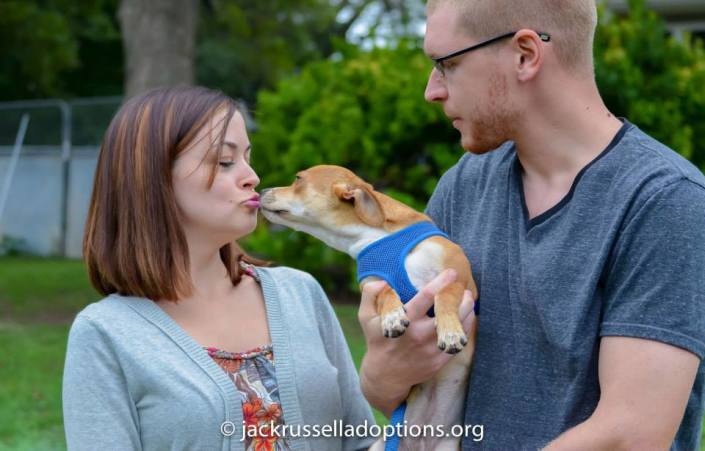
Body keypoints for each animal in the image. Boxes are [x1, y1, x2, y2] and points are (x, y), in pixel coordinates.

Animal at [260, 166, 478, 451]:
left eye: (298, 179)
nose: (261, 190)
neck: (375, 236)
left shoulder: (460, 281)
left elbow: (444, 294)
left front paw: (450, 332)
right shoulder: (373, 285)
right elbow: (386, 292)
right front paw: (393, 317)